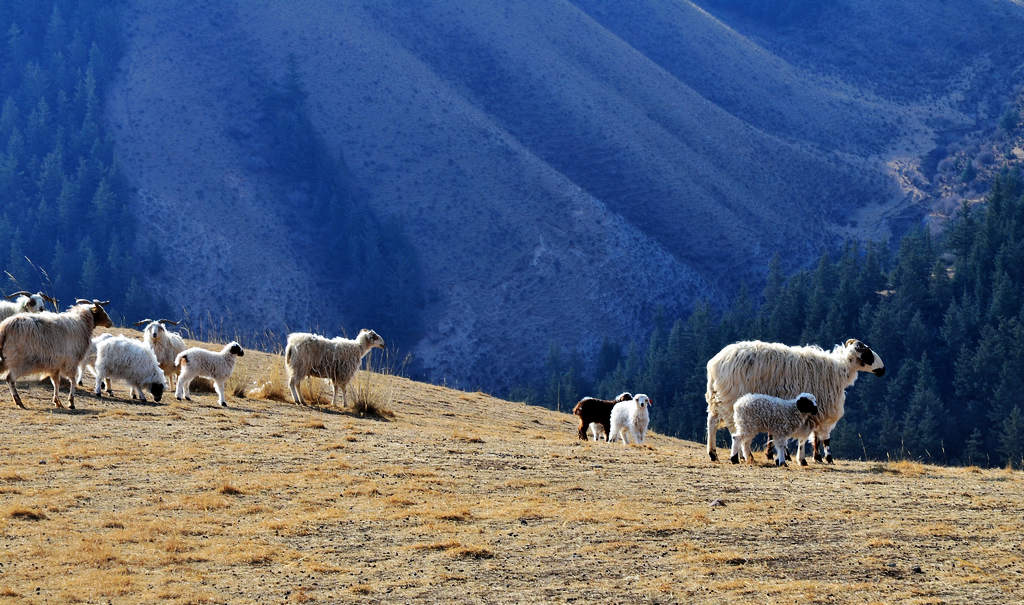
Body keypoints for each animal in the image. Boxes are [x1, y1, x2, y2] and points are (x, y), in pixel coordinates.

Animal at [704, 339, 888, 464]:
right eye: (867, 353)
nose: (883, 369)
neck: (839, 370)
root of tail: (715, 363)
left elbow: (811, 436)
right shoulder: (819, 407)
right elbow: (819, 436)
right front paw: (822, 458)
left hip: (719, 397)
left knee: (712, 422)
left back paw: (713, 453)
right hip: (733, 399)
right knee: (736, 431)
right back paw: (744, 456)